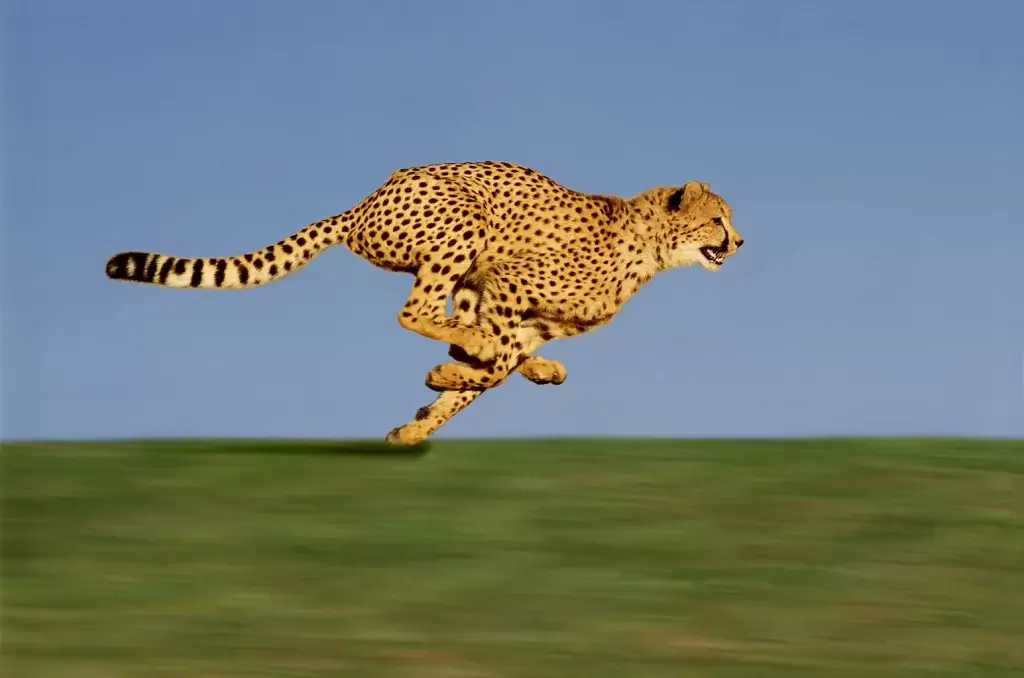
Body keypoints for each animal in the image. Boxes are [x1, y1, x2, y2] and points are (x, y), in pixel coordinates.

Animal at [105, 161, 744, 445]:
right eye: (718, 219)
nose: (740, 241)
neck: (650, 247)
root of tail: (364, 202)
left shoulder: (523, 314)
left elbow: (491, 372)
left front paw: (417, 424)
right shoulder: (509, 283)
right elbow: (490, 363)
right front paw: (441, 384)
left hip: (464, 271)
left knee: (448, 319)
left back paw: (532, 368)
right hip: (466, 222)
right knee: (415, 312)